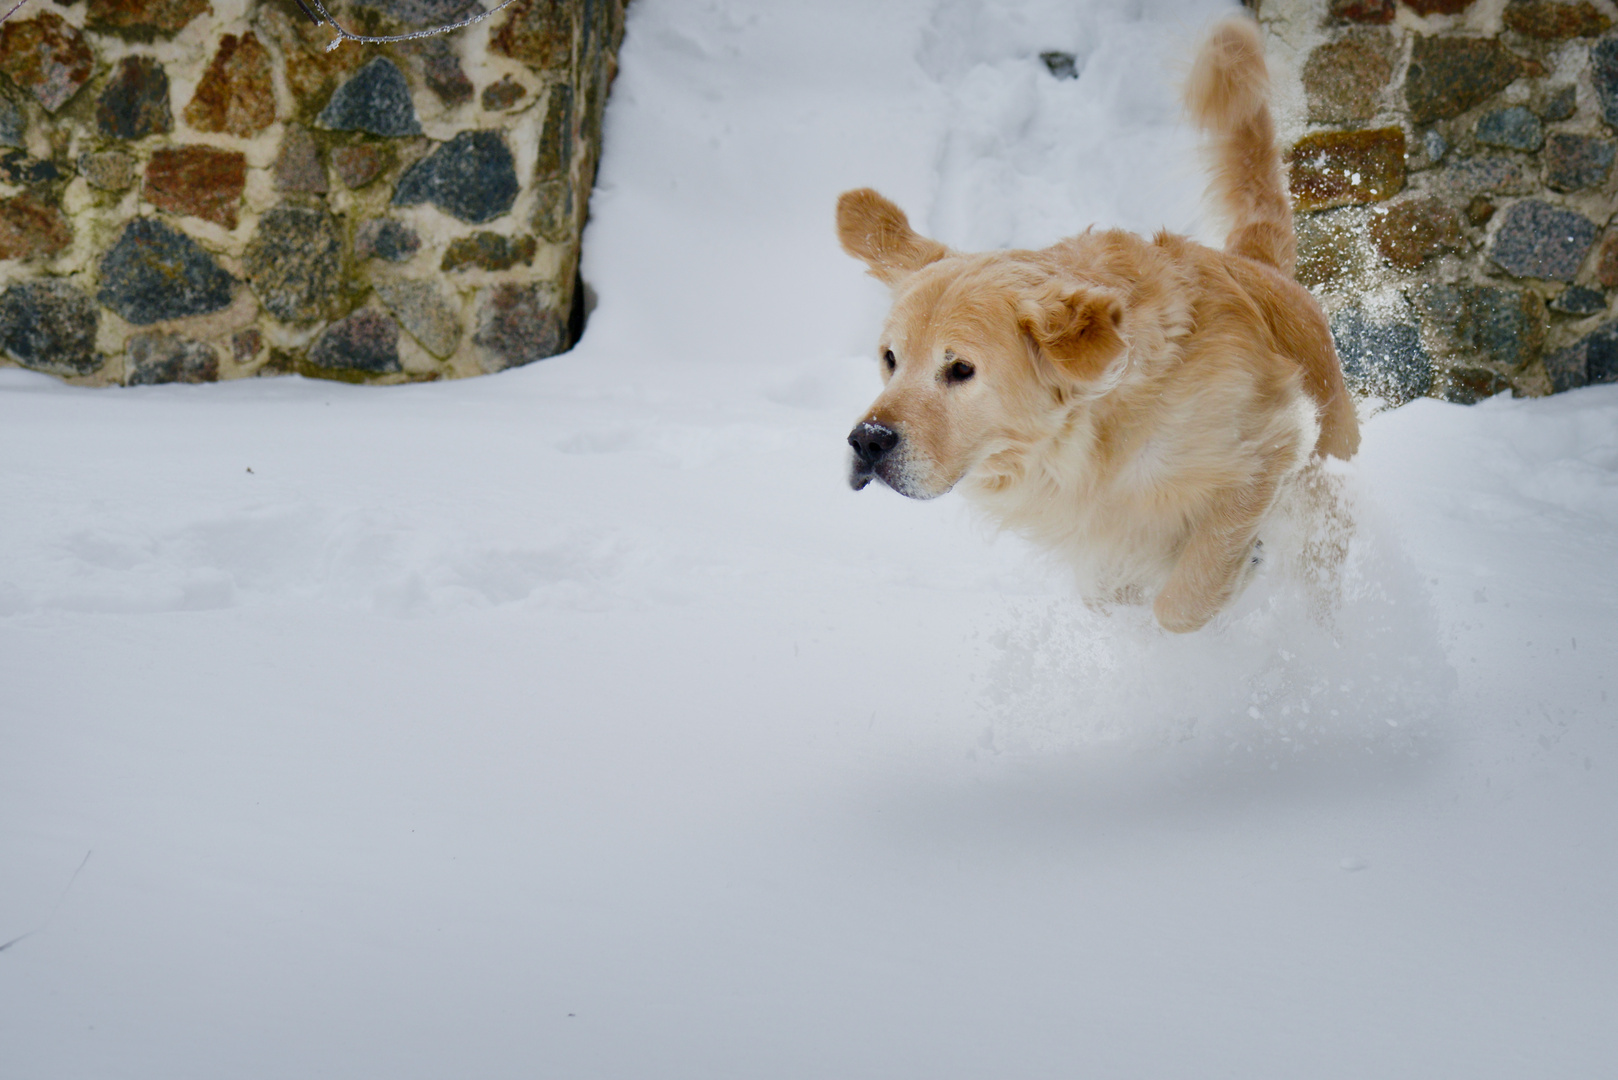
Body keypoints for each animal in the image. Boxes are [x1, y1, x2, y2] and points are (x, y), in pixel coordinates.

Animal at [841, 19, 1359, 634]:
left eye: (961, 369)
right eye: (890, 359)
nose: (867, 440)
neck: (1089, 437)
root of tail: (1257, 263)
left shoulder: (1272, 444)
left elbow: (1183, 600)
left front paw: (1226, 586)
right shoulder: (1103, 551)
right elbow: (1120, 596)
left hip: (1323, 496)